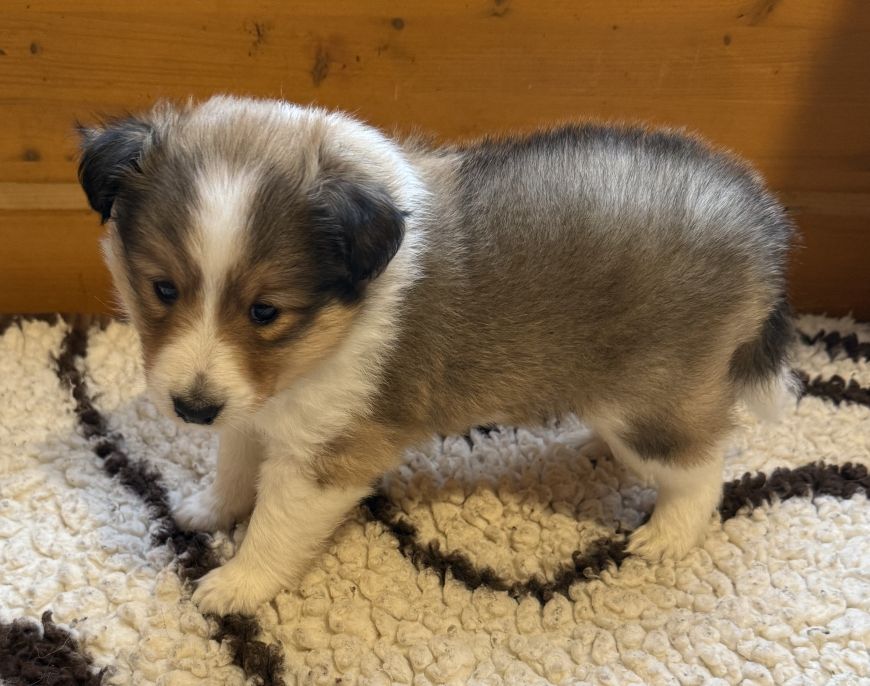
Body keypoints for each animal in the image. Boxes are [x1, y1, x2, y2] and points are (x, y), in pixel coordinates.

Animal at [77, 96, 795, 615]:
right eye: (162, 288)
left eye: (264, 311)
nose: (192, 409)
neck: (320, 343)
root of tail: (760, 220)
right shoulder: (254, 407)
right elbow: (233, 464)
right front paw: (206, 509)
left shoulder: (326, 455)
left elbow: (277, 524)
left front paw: (237, 584)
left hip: (651, 398)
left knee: (702, 466)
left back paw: (667, 536)